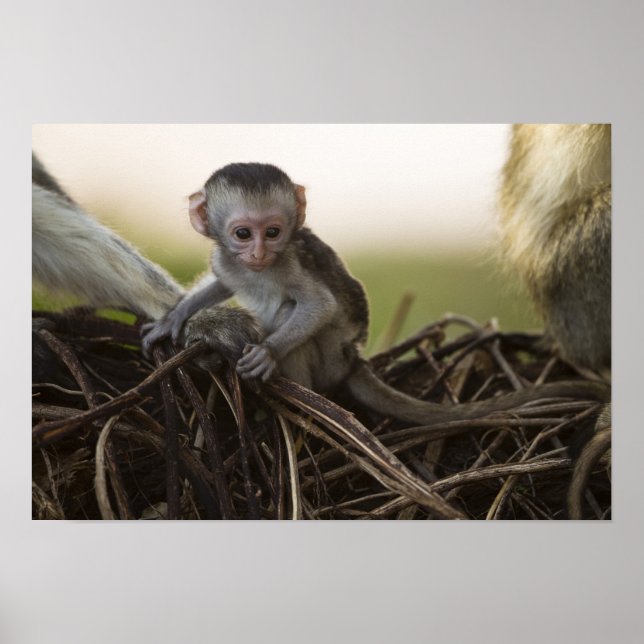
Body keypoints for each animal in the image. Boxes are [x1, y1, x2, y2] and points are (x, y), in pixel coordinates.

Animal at [142, 162, 609, 427]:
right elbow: (221, 284)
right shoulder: (226, 261)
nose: (259, 252)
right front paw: (172, 318)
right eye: (243, 234)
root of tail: (354, 360)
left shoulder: (288, 262)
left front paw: (267, 353)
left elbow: (319, 304)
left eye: (273, 232)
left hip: (331, 358)